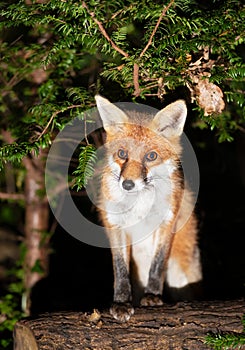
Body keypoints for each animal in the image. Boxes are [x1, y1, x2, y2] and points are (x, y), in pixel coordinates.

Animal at [94, 94, 202, 322]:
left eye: (151, 156)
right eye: (122, 153)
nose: (127, 184)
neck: (140, 205)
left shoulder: (167, 222)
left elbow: (158, 265)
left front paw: (153, 296)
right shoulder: (115, 225)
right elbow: (120, 270)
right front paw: (121, 303)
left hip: (181, 272)